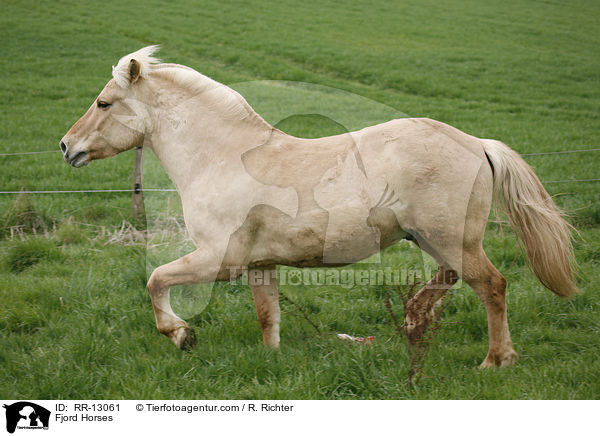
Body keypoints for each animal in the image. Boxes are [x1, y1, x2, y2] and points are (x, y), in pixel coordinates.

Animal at [59, 46, 576, 368]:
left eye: (103, 103)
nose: (66, 147)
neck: (220, 156)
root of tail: (476, 143)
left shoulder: (219, 260)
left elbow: (155, 279)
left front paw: (181, 335)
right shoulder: (259, 264)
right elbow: (268, 317)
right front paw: (271, 361)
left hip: (451, 238)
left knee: (491, 286)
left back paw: (494, 361)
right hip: (434, 238)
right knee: (450, 279)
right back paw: (414, 319)